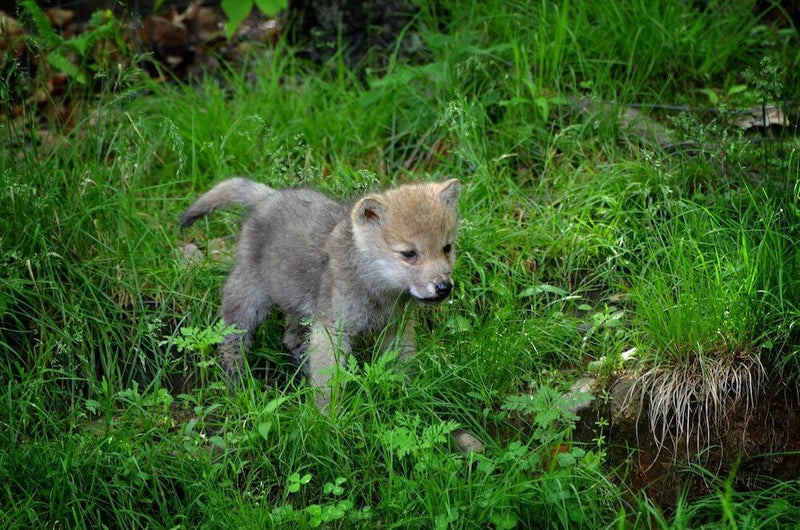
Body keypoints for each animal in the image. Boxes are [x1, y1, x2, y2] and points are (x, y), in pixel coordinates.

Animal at [181, 177, 461, 407]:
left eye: (447, 248)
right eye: (409, 253)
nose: (444, 287)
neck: (375, 287)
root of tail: (269, 197)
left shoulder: (396, 327)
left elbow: (402, 364)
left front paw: (405, 395)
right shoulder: (332, 329)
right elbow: (328, 382)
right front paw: (326, 418)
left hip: (298, 304)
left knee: (291, 338)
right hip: (249, 297)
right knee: (231, 338)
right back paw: (237, 381)